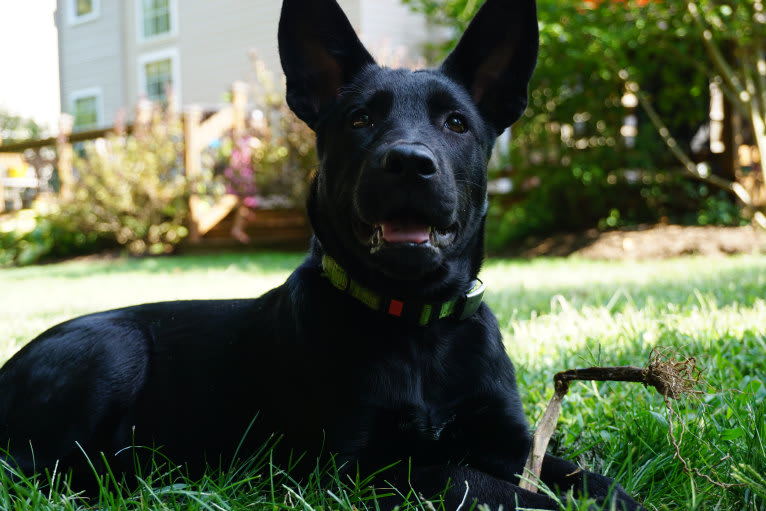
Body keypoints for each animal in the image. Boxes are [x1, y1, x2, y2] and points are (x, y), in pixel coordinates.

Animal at [0, 2, 648, 510]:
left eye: (457, 123)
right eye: (360, 118)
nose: (408, 163)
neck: (417, 328)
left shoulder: (510, 442)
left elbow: (592, 479)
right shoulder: (356, 469)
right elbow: (467, 479)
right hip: (110, 349)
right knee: (44, 471)